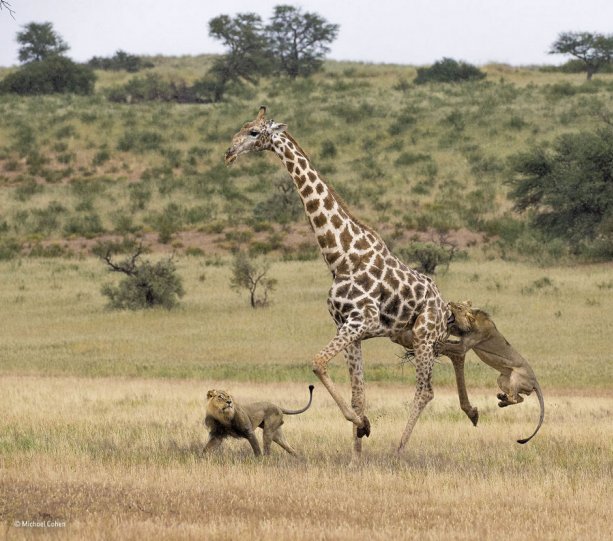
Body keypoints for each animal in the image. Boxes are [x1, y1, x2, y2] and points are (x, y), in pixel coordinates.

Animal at [225, 107, 450, 454]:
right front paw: (356, 450)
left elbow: (317, 362)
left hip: (425, 335)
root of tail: (445, 307)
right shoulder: (348, 327)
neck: (339, 255)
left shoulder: (361, 321)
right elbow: (358, 394)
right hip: (406, 336)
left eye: (253, 132)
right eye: (243, 126)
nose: (229, 152)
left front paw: (363, 426)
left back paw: (398, 450)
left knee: (425, 390)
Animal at [440, 300, 544, 442]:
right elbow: (451, 336)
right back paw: (502, 400)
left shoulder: (464, 346)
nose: (449, 302)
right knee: (520, 398)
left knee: (515, 399)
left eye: (459, 307)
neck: (473, 322)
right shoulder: (462, 337)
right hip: (501, 379)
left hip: (516, 377)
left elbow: (448, 345)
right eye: (458, 303)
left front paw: (437, 344)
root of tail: (535, 381)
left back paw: (503, 400)